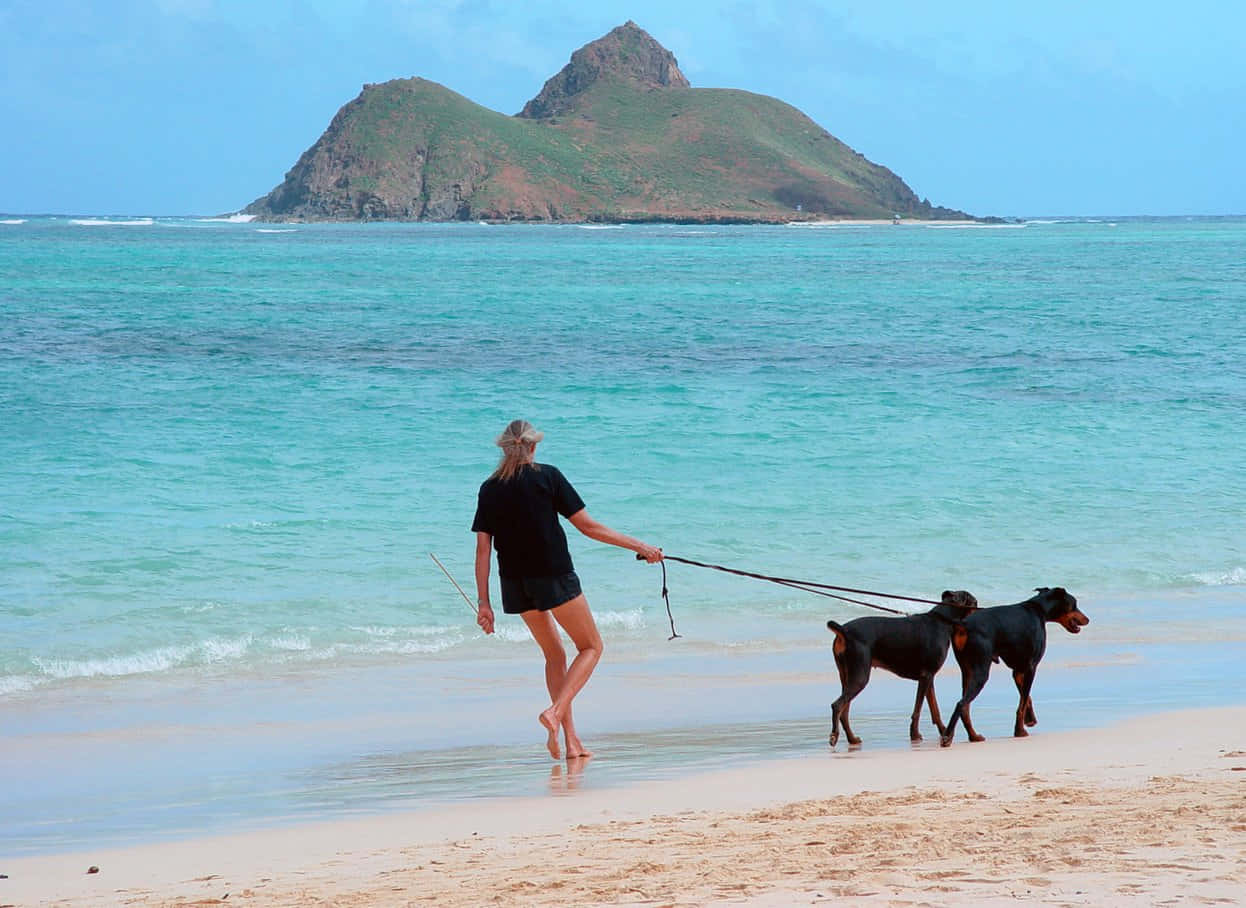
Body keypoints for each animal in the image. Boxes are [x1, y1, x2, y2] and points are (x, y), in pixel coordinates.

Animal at [827, 590, 981, 747]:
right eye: (974, 602)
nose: (980, 609)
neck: (942, 621)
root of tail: (844, 630)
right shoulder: (926, 676)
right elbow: (918, 709)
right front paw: (915, 734)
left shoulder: (929, 677)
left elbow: (935, 709)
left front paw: (944, 731)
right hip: (860, 677)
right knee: (837, 706)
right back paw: (834, 736)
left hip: (846, 676)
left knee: (844, 712)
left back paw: (852, 739)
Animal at [936, 587, 1086, 742]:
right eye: (1074, 605)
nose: (1087, 619)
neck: (1039, 609)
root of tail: (963, 624)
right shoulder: (1031, 667)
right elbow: (1023, 702)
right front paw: (1020, 730)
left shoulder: (1018, 670)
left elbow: (1026, 698)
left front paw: (1029, 720)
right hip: (980, 672)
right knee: (961, 704)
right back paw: (947, 737)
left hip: (967, 671)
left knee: (965, 707)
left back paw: (973, 736)